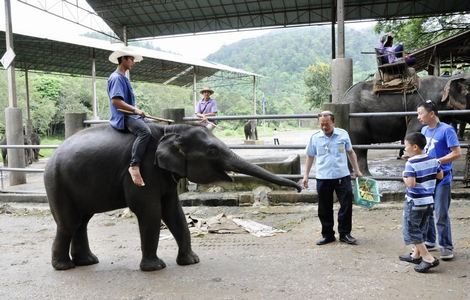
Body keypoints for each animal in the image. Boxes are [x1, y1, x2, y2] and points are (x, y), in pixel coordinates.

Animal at [45, 122, 302, 272]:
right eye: (212, 150)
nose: (299, 188)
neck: (168, 132)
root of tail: (51, 157)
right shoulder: (143, 170)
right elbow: (150, 211)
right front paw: (155, 268)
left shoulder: (164, 174)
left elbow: (173, 210)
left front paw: (192, 261)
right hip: (58, 184)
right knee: (69, 223)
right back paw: (64, 267)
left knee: (81, 221)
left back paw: (88, 262)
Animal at [342, 73, 470, 175]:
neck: (446, 80)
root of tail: (343, 97)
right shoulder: (419, 113)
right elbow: (413, 133)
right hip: (356, 118)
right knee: (360, 147)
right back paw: (365, 176)